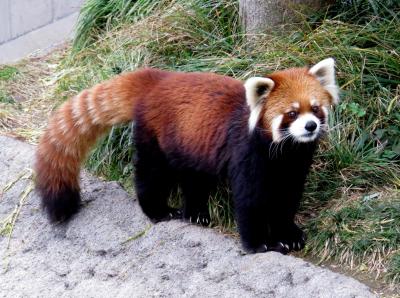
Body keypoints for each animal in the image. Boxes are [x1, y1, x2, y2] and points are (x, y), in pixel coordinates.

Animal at [36, 58, 340, 254]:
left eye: (315, 109)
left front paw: (289, 234)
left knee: (194, 180)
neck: (283, 152)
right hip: (155, 137)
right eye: (291, 113)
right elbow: (250, 201)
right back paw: (159, 211)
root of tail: (159, 79)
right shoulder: (248, 155)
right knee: (152, 174)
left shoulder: (293, 164)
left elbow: (286, 199)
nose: (310, 126)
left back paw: (195, 214)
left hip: (192, 144)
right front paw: (260, 244)